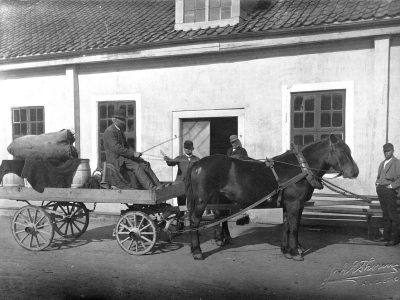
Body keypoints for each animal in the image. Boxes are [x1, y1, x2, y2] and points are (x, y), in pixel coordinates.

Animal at [184, 135, 360, 260]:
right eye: (342, 151)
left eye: (349, 151)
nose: (355, 172)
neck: (300, 169)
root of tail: (198, 164)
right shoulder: (294, 204)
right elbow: (294, 227)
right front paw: (295, 252)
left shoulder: (291, 204)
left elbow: (287, 225)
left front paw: (286, 250)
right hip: (202, 201)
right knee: (195, 221)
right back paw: (197, 250)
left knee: (220, 216)